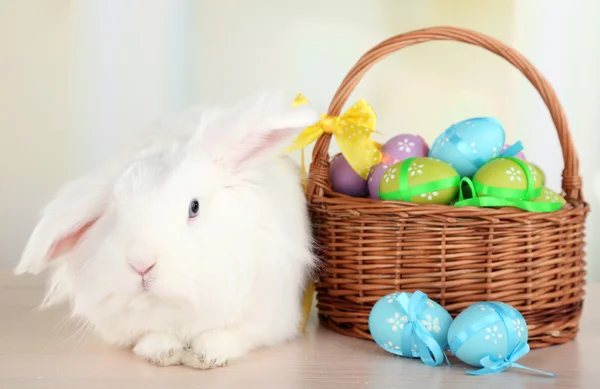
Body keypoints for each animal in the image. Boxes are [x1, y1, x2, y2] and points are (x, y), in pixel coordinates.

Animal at [15, 91, 318, 366]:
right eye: (115, 214)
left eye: (194, 207)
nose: (141, 264)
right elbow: (150, 336)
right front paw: (166, 352)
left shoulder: (270, 318)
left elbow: (232, 334)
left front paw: (206, 355)